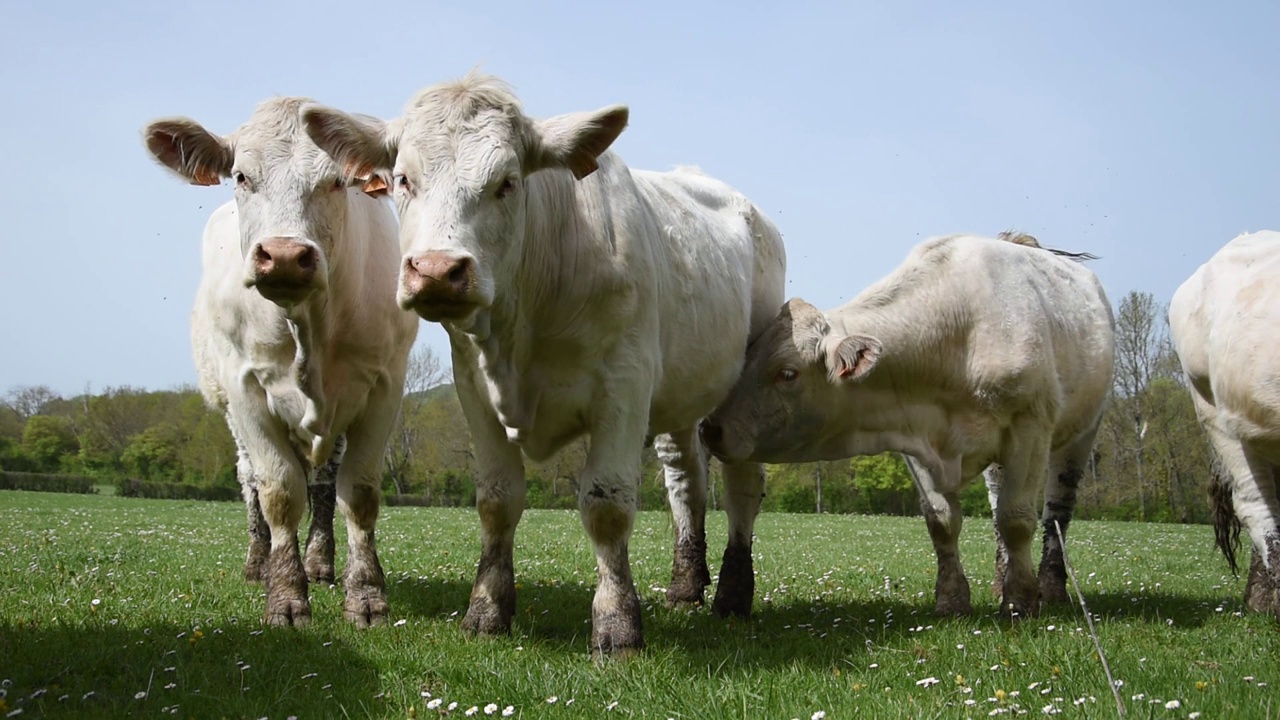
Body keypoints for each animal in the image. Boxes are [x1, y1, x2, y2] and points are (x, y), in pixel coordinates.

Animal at [142, 98, 417, 625]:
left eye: (337, 181)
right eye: (241, 176)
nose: (285, 255)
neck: (306, 323)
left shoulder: (383, 385)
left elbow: (358, 491)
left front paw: (365, 593)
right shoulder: (246, 388)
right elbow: (279, 490)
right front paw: (286, 594)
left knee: (325, 481)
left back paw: (320, 562)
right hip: (229, 409)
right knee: (249, 480)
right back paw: (259, 563)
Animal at [300, 71, 783, 650]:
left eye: (507, 182)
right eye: (402, 179)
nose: (437, 270)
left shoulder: (624, 386)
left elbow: (606, 504)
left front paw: (617, 625)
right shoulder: (474, 388)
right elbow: (497, 500)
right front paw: (487, 610)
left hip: (746, 385)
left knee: (742, 486)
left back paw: (733, 594)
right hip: (682, 393)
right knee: (686, 479)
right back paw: (686, 585)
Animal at [701, 234, 1111, 617]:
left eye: (787, 373)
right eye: (748, 354)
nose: (710, 429)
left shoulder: (1030, 426)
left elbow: (1017, 519)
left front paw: (1021, 602)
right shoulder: (915, 440)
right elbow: (943, 520)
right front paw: (952, 601)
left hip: (1080, 435)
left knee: (1056, 513)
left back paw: (1050, 589)